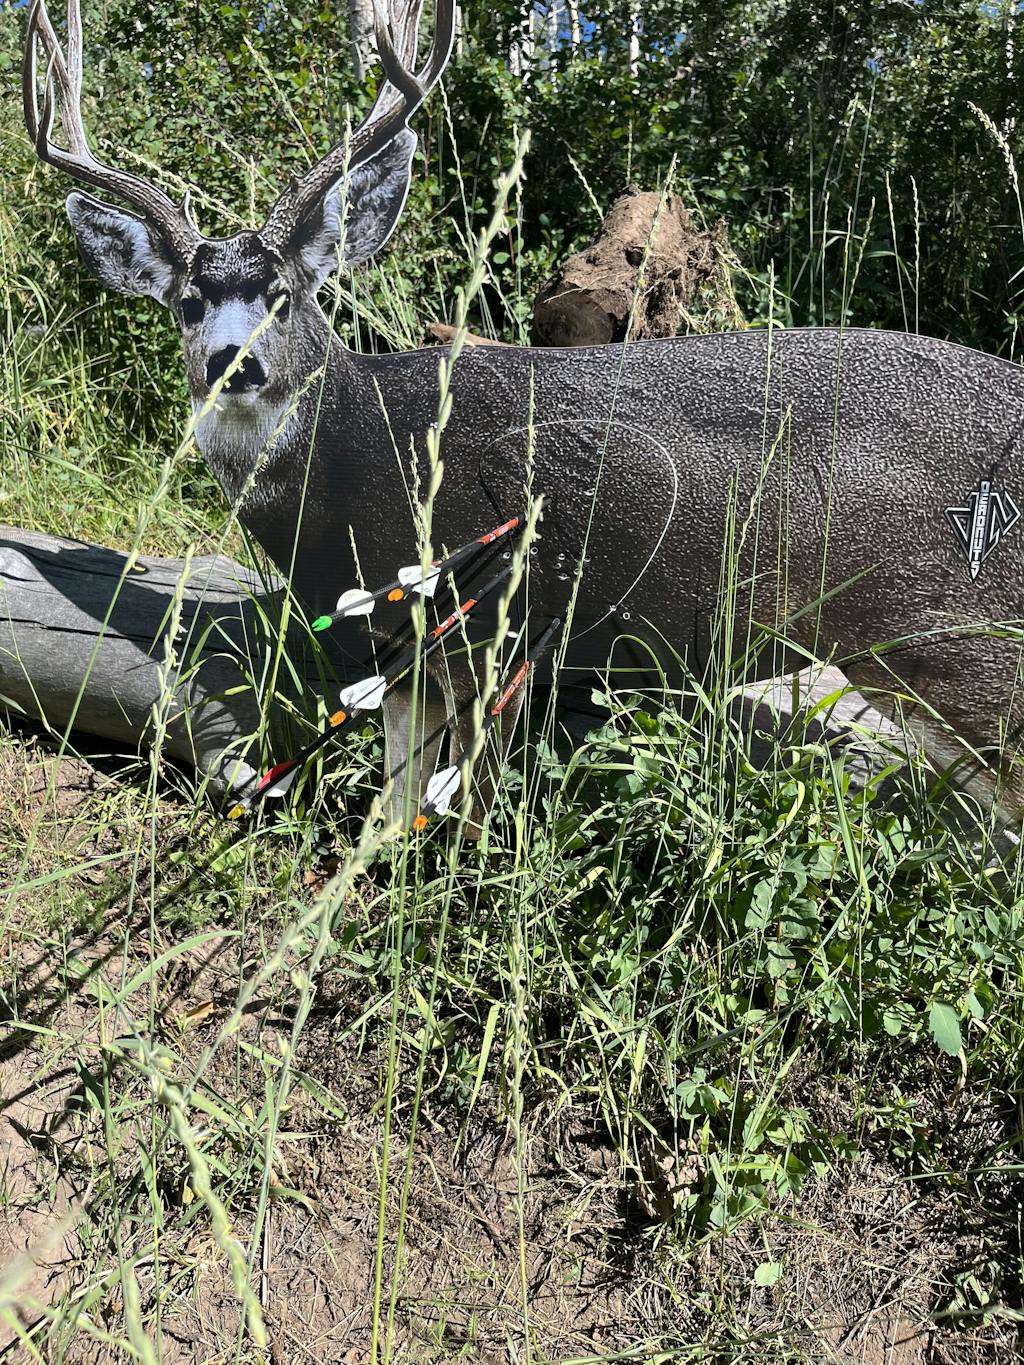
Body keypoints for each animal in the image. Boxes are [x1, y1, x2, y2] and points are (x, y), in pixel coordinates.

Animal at [22, 0, 1024, 832]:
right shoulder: (402, 656)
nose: (236, 363)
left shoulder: (487, 628)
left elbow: (461, 817)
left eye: (283, 292)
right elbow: (390, 818)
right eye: (188, 301)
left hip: (964, 645)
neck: (360, 452)